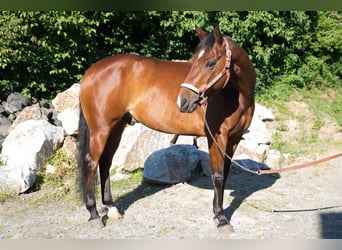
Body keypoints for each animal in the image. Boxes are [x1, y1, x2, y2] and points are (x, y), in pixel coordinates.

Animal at [77, 23, 254, 229]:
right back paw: (94, 214)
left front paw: (218, 214)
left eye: (210, 63)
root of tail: (91, 71)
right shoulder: (217, 138)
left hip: (116, 128)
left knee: (105, 162)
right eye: (194, 61)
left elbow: (224, 175)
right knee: (91, 163)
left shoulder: (234, 139)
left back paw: (112, 208)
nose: (183, 100)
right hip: (101, 130)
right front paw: (221, 218)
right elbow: (217, 176)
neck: (235, 95)